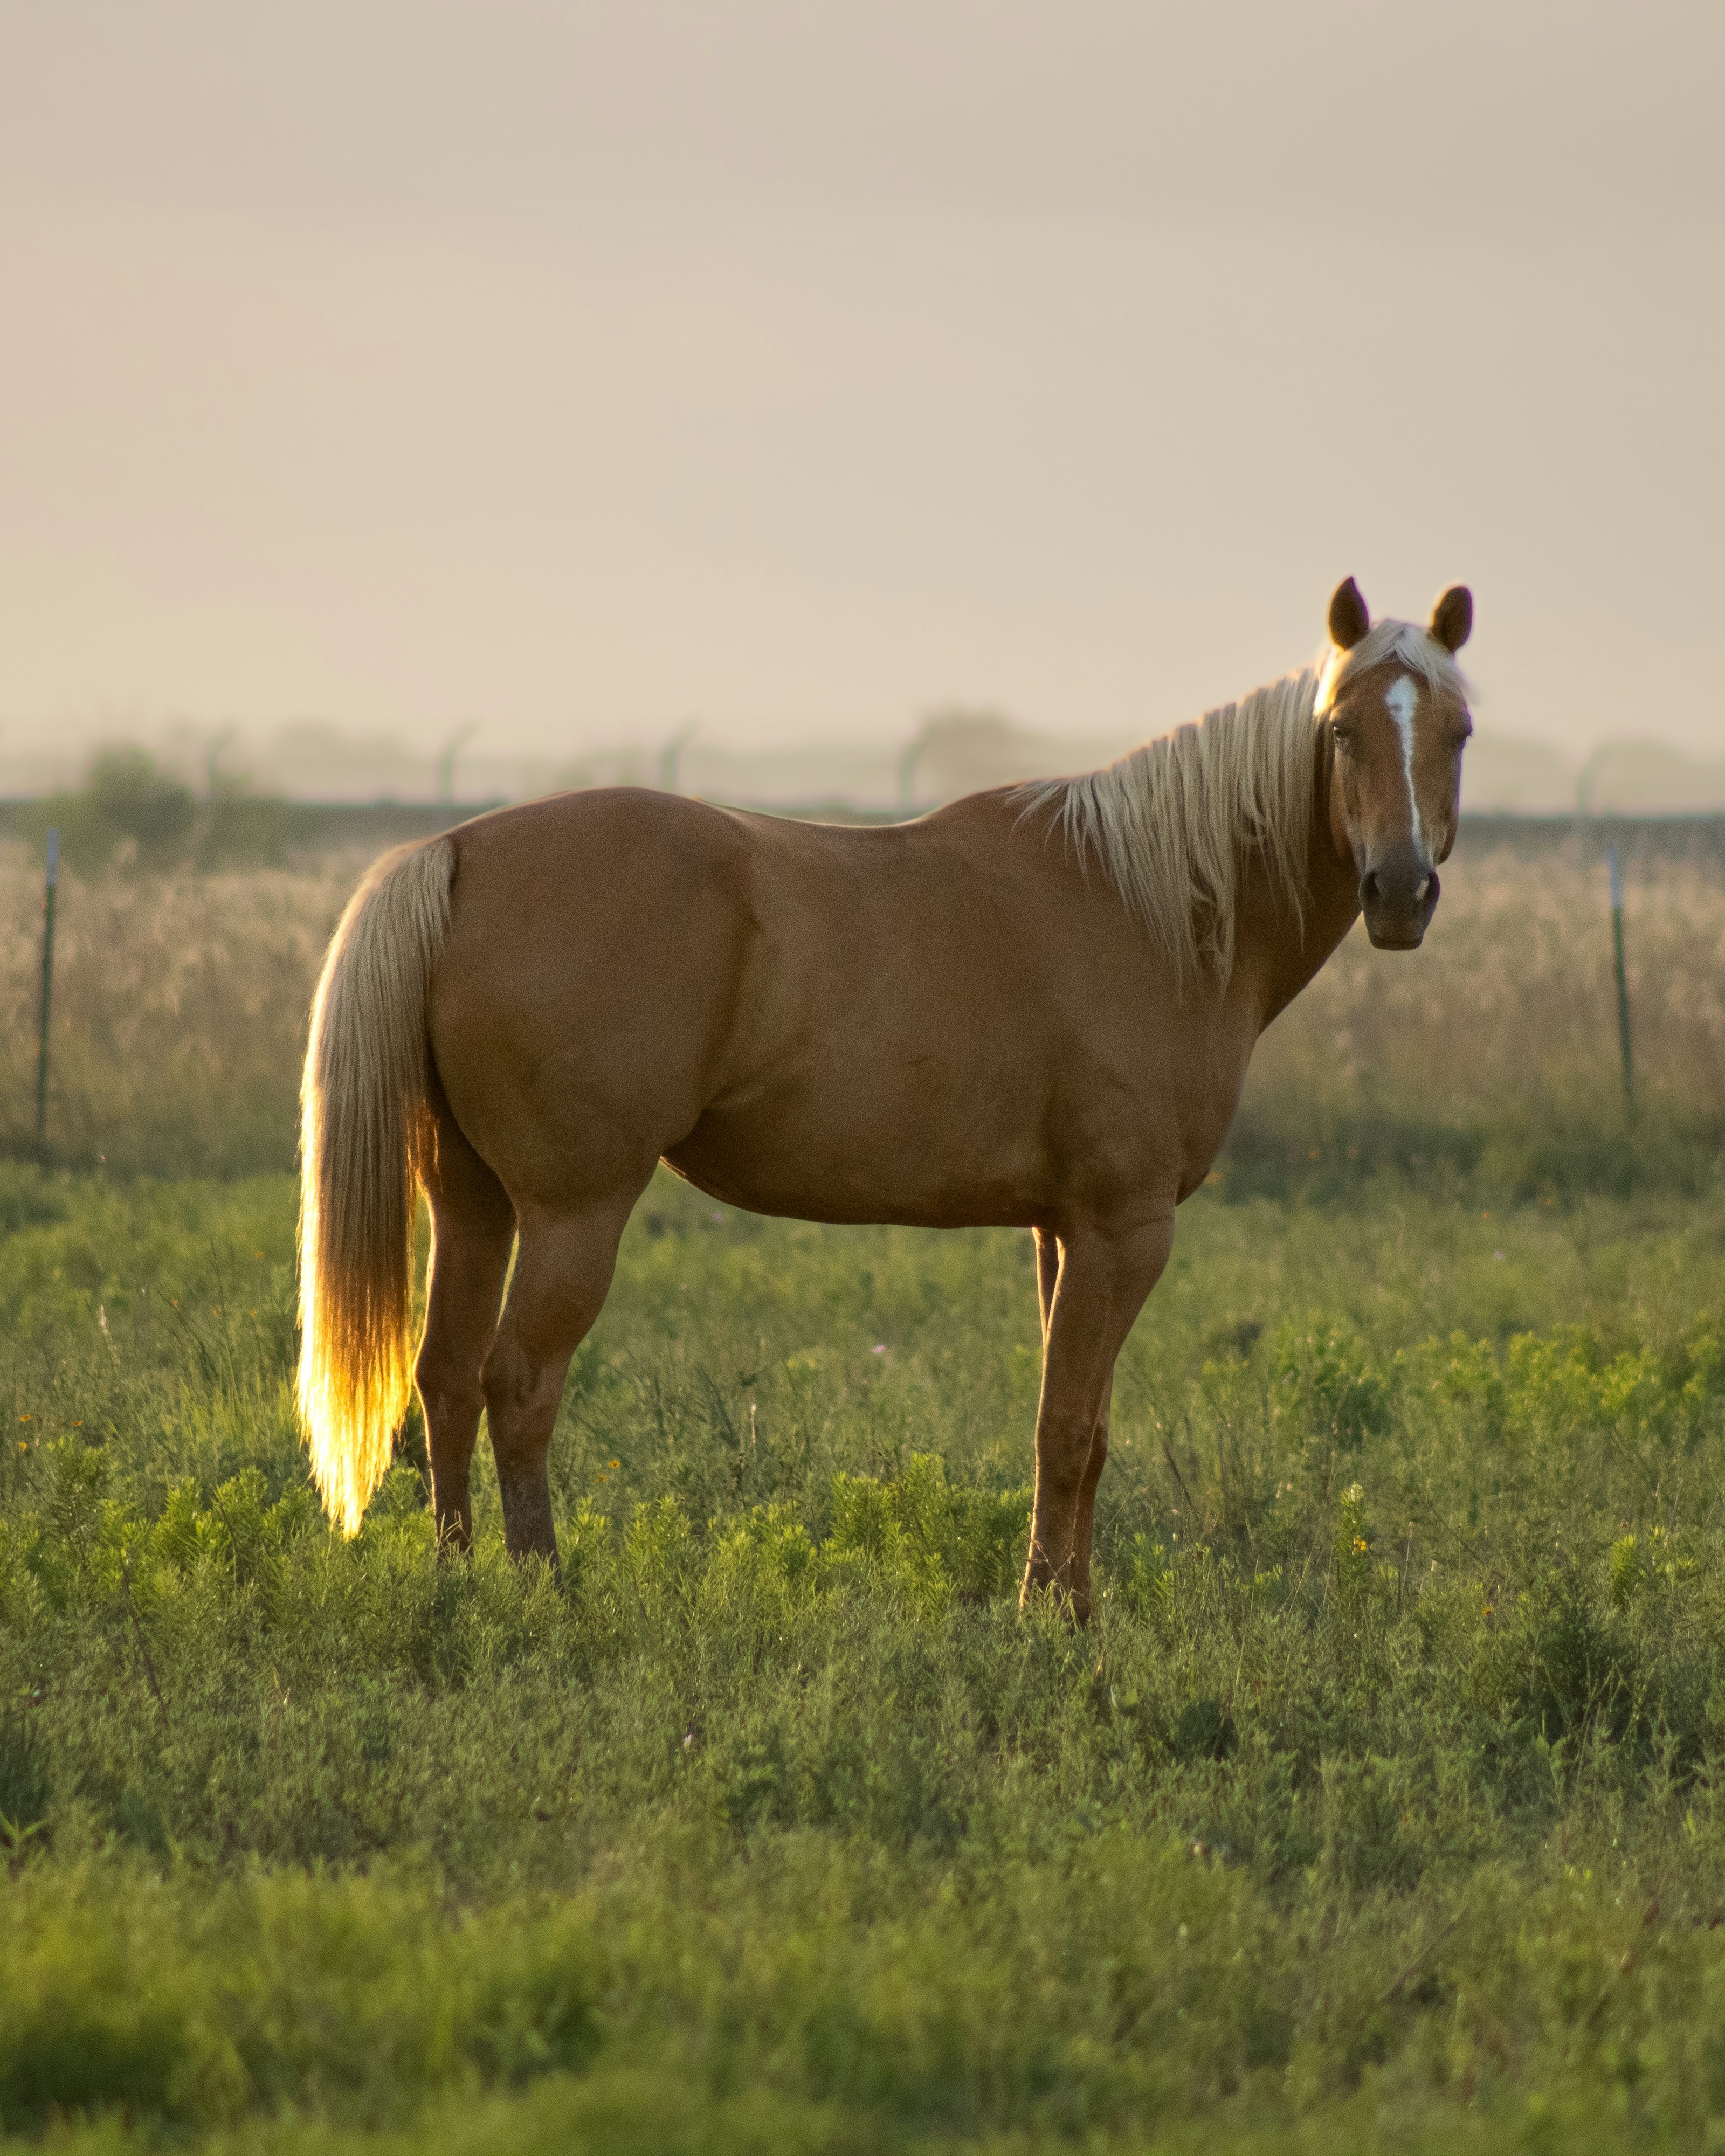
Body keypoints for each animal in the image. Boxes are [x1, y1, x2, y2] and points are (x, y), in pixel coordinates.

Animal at [297, 575, 1473, 1621]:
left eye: (1458, 732)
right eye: (1341, 733)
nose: (1400, 891)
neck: (1150, 907)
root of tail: (456, 851)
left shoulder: (1060, 1231)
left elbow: (1075, 1430)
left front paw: (1060, 1601)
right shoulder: (1122, 1230)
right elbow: (1069, 1429)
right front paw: (1057, 1621)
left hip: (474, 1203)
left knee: (446, 1377)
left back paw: (459, 1582)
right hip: (572, 1213)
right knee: (518, 1384)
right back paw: (542, 1588)